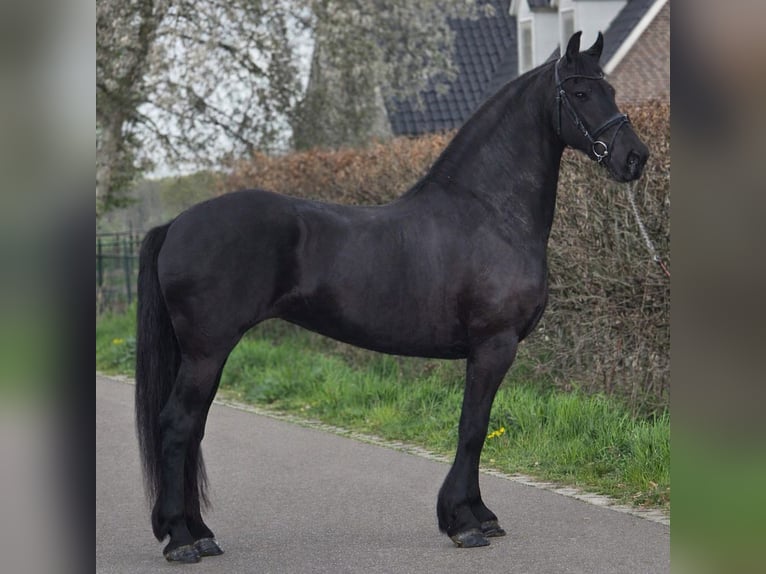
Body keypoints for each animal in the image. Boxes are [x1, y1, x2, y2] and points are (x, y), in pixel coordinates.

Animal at [135, 32, 649, 562]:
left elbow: (477, 427)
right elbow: (473, 428)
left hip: (203, 354)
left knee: (192, 428)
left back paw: (200, 533)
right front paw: (464, 522)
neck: (489, 212)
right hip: (207, 351)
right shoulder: (493, 346)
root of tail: (176, 224)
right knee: (177, 425)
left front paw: (479, 514)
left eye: (609, 88)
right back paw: (181, 540)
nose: (636, 158)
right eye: (581, 92)